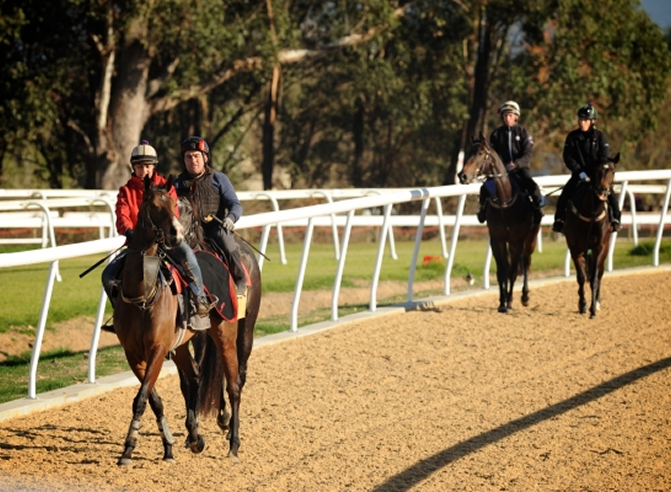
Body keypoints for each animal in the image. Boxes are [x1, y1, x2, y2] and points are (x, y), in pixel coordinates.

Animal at [112, 176, 261, 465]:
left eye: (177, 206)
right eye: (153, 205)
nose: (176, 235)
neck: (143, 294)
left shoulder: (158, 348)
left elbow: (143, 397)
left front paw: (131, 446)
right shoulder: (133, 353)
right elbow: (152, 397)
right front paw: (159, 446)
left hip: (234, 333)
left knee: (235, 383)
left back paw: (233, 442)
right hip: (185, 344)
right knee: (194, 377)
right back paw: (197, 436)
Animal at [457, 135, 541, 313]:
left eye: (480, 153)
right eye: (467, 152)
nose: (462, 175)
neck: (505, 201)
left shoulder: (517, 239)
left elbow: (513, 271)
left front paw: (509, 302)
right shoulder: (497, 239)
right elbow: (502, 271)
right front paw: (502, 302)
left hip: (530, 239)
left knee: (525, 262)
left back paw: (524, 296)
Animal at [562, 154, 619, 318]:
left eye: (613, 171)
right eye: (596, 171)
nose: (602, 192)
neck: (591, 213)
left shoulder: (599, 247)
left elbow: (594, 277)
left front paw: (593, 308)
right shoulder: (575, 248)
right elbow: (581, 277)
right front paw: (583, 305)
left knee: (599, 273)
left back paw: (597, 302)